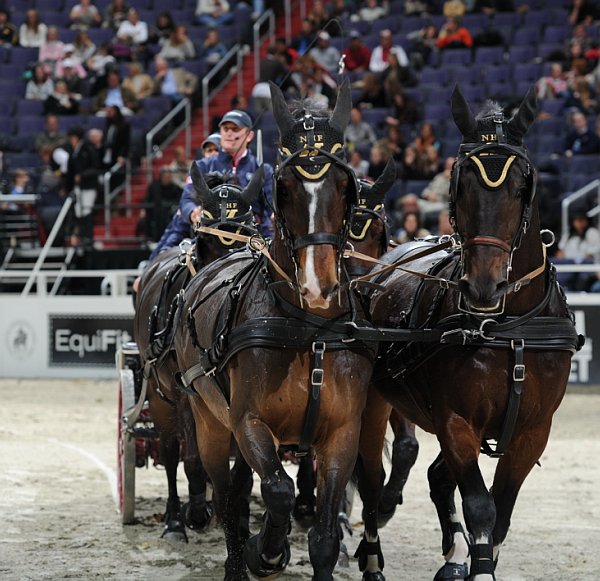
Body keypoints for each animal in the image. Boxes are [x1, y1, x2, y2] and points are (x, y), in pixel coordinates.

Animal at [132, 167, 264, 540]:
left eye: (246, 236)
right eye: (209, 241)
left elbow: (240, 468)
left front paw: (235, 513)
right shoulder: (185, 394)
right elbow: (191, 459)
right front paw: (194, 513)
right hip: (160, 397)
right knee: (170, 451)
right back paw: (176, 517)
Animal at [172, 79, 384, 576]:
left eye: (344, 187)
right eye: (282, 189)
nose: (318, 285)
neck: (311, 331)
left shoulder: (342, 433)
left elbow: (323, 534)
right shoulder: (248, 421)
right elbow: (277, 490)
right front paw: (265, 550)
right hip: (210, 420)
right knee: (226, 493)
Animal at [358, 87, 584, 580]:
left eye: (522, 187)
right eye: (460, 186)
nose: (484, 286)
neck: (508, 330)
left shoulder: (532, 431)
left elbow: (502, 511)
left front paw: (475, 560)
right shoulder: (457, 423)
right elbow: (481, 506)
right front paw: (478, 565)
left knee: (435, 477)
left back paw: (449, 555)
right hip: (371, 403)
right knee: (368, 477)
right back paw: (371, 552)